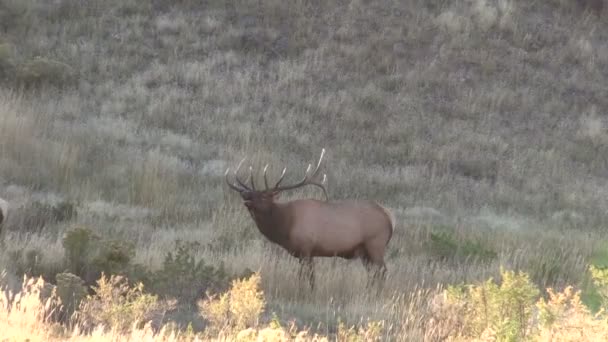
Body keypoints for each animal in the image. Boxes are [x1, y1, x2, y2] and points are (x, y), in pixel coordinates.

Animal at [224, 148, 394, 290]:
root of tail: (389, 219)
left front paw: (306, 292)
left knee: (383, 271)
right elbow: (307, 277)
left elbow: (308, 277)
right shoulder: (304, 253)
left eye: (264, 196)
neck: (285, 226)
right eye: (251, 193)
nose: (245, 194)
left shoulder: (306, 248)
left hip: (375, 244)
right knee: (373, 273)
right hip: (364, 250)